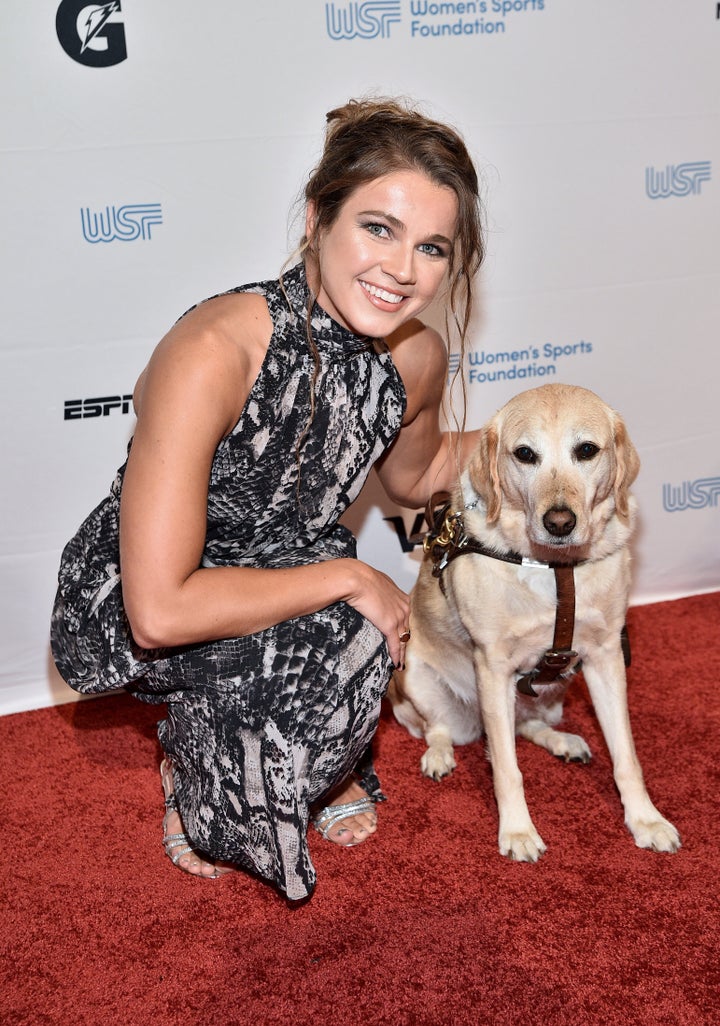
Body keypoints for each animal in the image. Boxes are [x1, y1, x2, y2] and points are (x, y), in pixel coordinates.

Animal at [393, 381, 681, 861]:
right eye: (525, 454)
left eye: (586, 450)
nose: (559, 522)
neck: (555, 568)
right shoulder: (493, 667)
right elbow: (508, 770)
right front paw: (517, 831)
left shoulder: (606, 657)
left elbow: (626, 756)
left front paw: (645, 819)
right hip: (418, 678)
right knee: (442, 730)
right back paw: (440, 755)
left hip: (554, 694)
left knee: (526, 725)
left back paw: (563, 742)